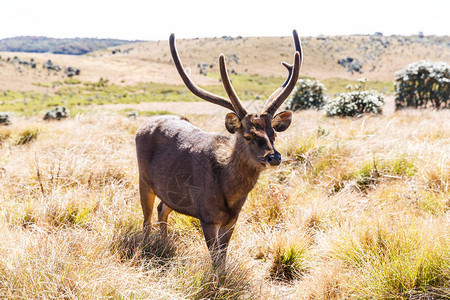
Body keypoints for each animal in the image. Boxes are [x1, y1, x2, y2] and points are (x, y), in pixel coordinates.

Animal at [134, 29, 302, 264]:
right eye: (248, 136)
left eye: (274, 134)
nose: (274, 157)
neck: (229, 195)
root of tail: (142, 125)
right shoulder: (207, 215)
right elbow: (215, 259)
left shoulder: (232, 219)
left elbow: (222, 257)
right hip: (143, 178)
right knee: (146, 218)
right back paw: (145, 246)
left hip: (170, 192)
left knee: (162, 209)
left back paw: (165, 245)